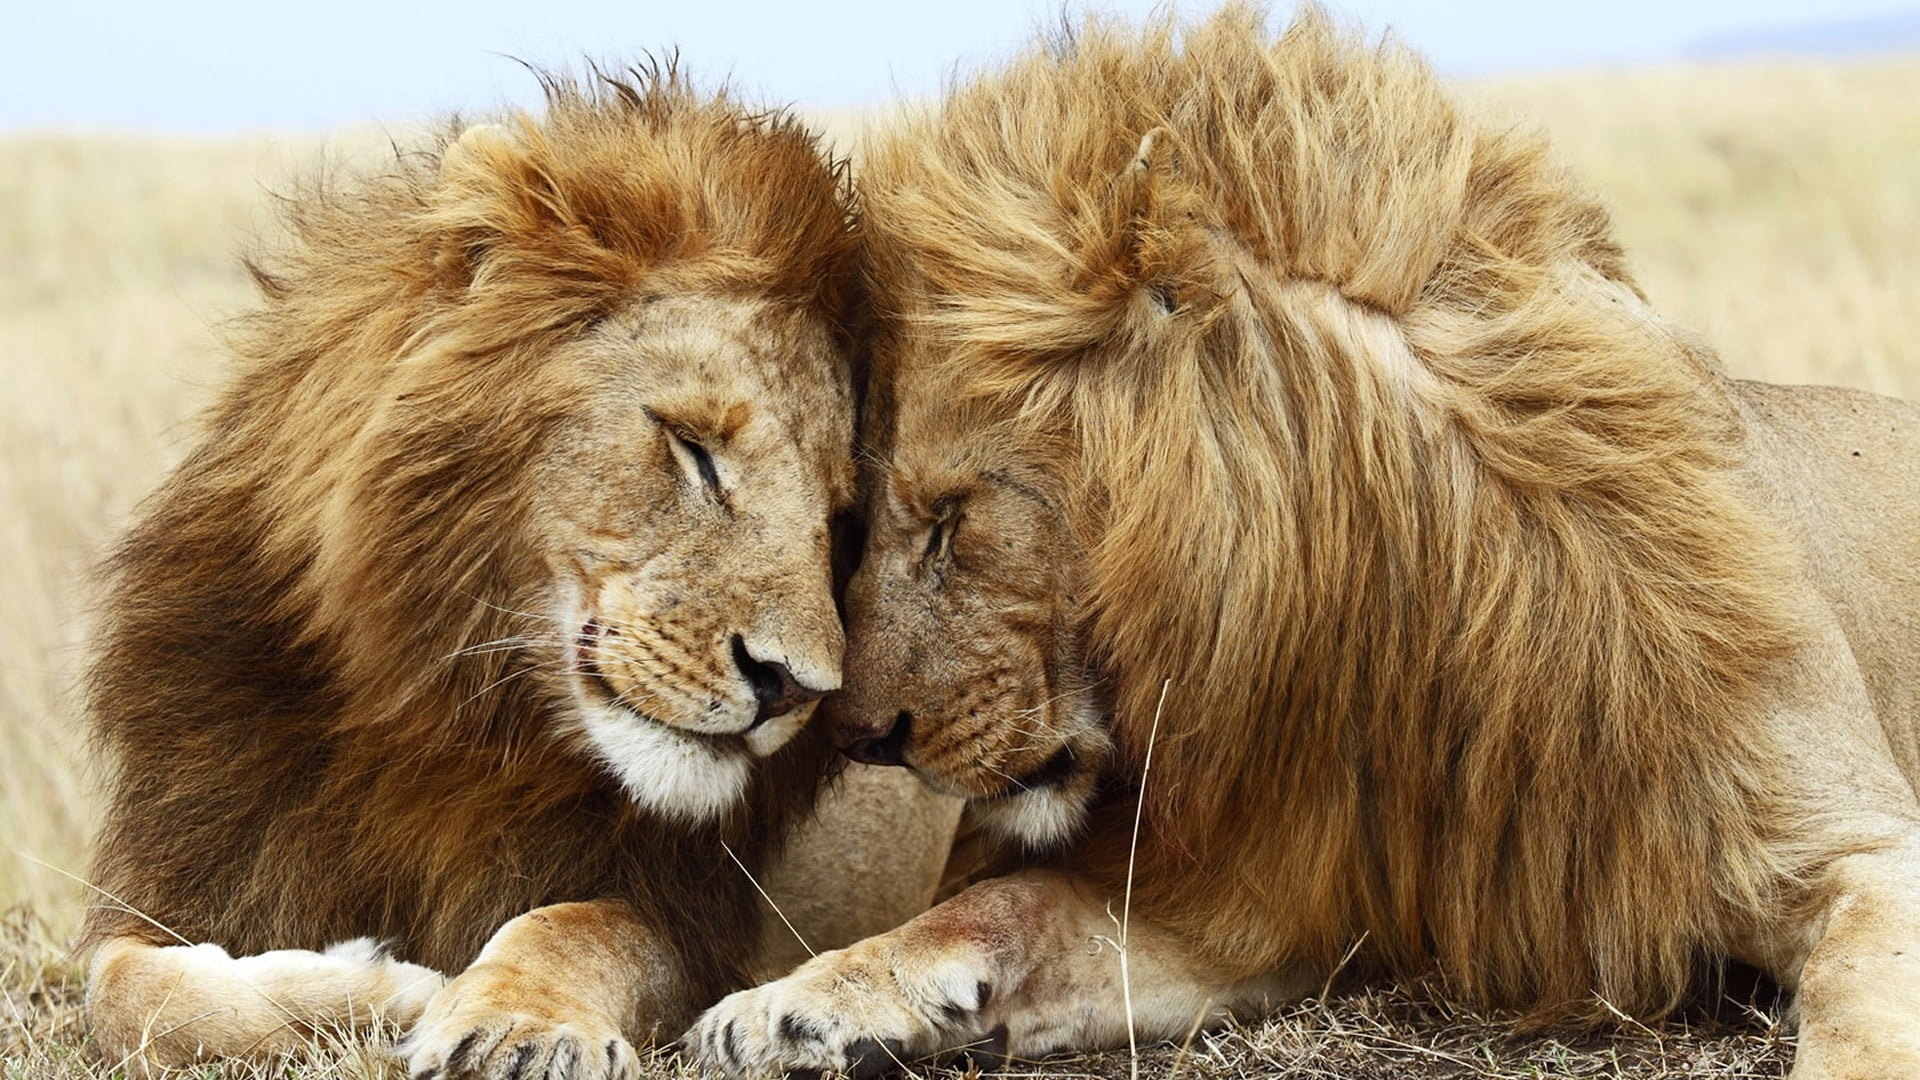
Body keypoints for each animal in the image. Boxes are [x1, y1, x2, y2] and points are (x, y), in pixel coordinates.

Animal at [78, 69, 959, 1080]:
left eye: (839, 518)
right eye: (692, 448)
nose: (793, 688)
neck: (447, 712)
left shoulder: (683, 916)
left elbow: (569, 928)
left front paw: (513, 1025)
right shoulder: (189, 871)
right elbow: (128, 992)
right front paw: (377, 986)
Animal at [689, 8, 1920, 1078]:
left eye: (949, 517)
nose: (858, 736)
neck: (1401, 604)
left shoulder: (1859, 847)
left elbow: (1864, 1013)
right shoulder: (1263, 893)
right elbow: (1007, 905)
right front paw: (796, 1002)